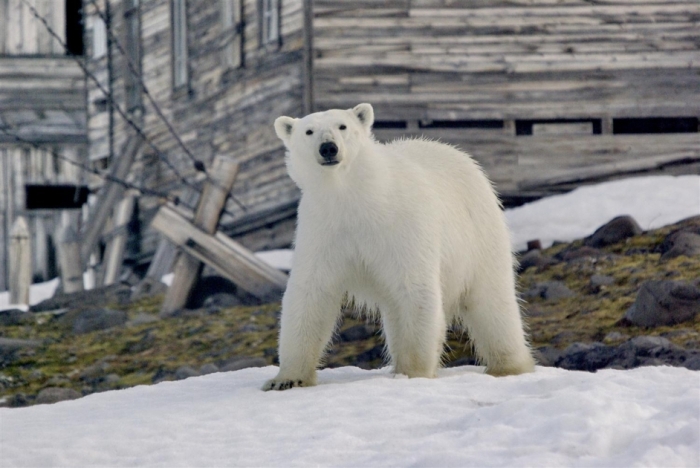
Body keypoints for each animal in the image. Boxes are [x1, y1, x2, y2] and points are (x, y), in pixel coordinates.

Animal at [262, 103, 536, 392]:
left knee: (492, 300)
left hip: (479, 234)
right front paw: (286, 380)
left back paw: (509, 366)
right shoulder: (322, 230)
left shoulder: (401, 227)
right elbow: (310, 293)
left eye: (342, 126)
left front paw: (414, 373)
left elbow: (414, 289)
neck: (355, 196)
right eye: (309, 131)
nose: (328, 148)